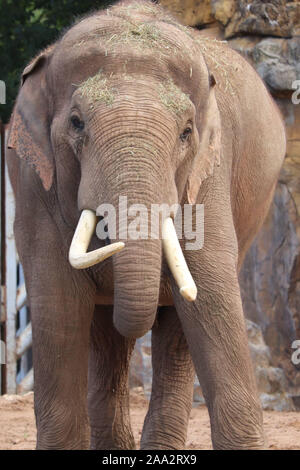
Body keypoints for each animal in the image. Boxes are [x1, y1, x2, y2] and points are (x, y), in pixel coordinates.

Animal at [7, 0, 286, 452]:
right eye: (77, 123)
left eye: (187, 132)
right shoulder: (33, 181)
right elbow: (59, 301)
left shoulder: (208, 173)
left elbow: (210, 293)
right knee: (107, 337)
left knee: (172, 333)